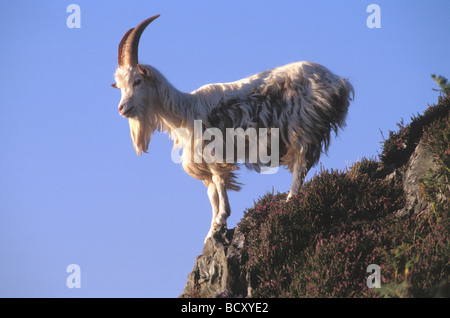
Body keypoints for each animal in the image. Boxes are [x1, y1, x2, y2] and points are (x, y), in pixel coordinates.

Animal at [110, 14, 354, 242]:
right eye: (120, 86)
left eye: (137, 81)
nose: (122, 108)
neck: (185, 112)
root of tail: (339, 82)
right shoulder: (204, 164)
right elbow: (212, 194)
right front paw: (212, 231)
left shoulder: (214, 154)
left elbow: (219, 185)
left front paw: (221, 220)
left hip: (302, 126)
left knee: (301, 165)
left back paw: (290, 201)